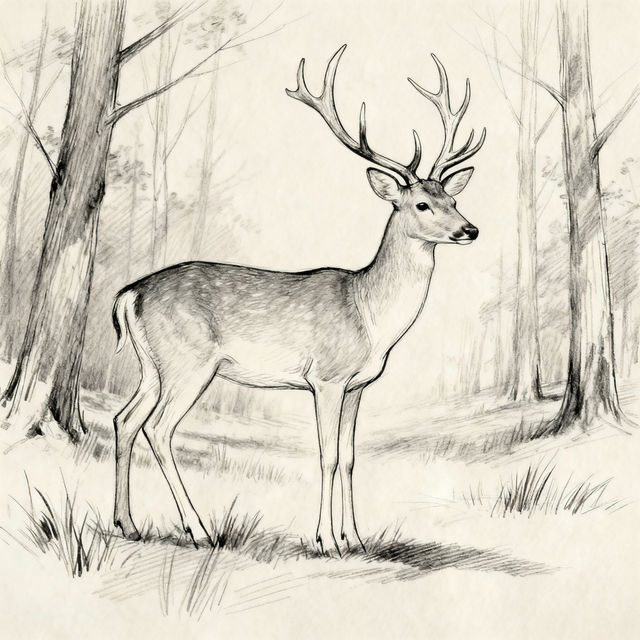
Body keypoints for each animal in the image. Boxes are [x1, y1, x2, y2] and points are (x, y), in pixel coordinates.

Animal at [111, 45, 485, 556]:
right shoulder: (325, 377)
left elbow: (349, 456)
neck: (369, 315)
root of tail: (130, 293)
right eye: (421, 205)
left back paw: (127, 524)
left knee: (124, 420)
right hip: (188, 362)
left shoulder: (357, 385)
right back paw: (199, 528)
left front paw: (356, 538)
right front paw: (326, 540)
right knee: (158, 428)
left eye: (452, 198)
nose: (470, 229)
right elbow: (326, 455)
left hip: (152, 366)